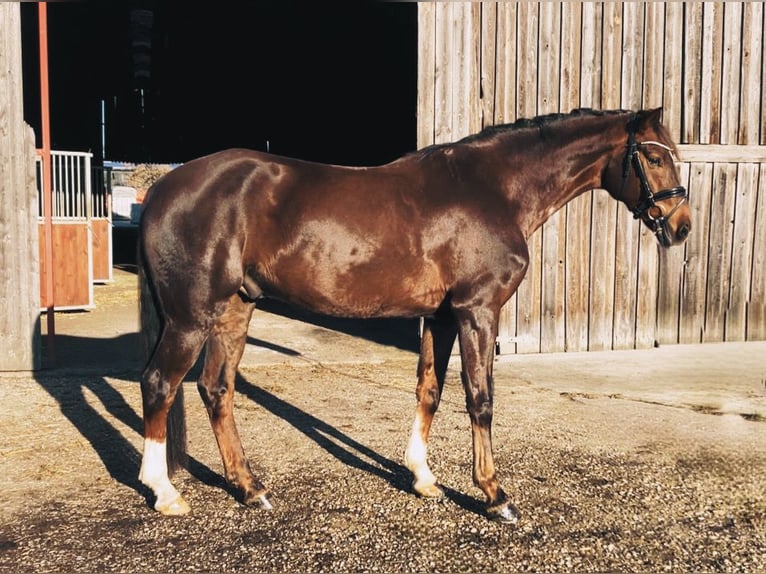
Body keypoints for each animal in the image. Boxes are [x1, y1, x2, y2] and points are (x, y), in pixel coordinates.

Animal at [136, 107, 690, 524]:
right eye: (654, 157)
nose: (681, 226)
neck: (492, 189)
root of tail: (162, 189)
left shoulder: (440, 318)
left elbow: (430, 390)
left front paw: (423, 478)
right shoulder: (476, 311)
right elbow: (480, 399)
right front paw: (495, 494)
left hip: (235, 309)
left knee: (216, 388)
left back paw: (251, 488)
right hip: (191, 318)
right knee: (161, 383)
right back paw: (165, 492)